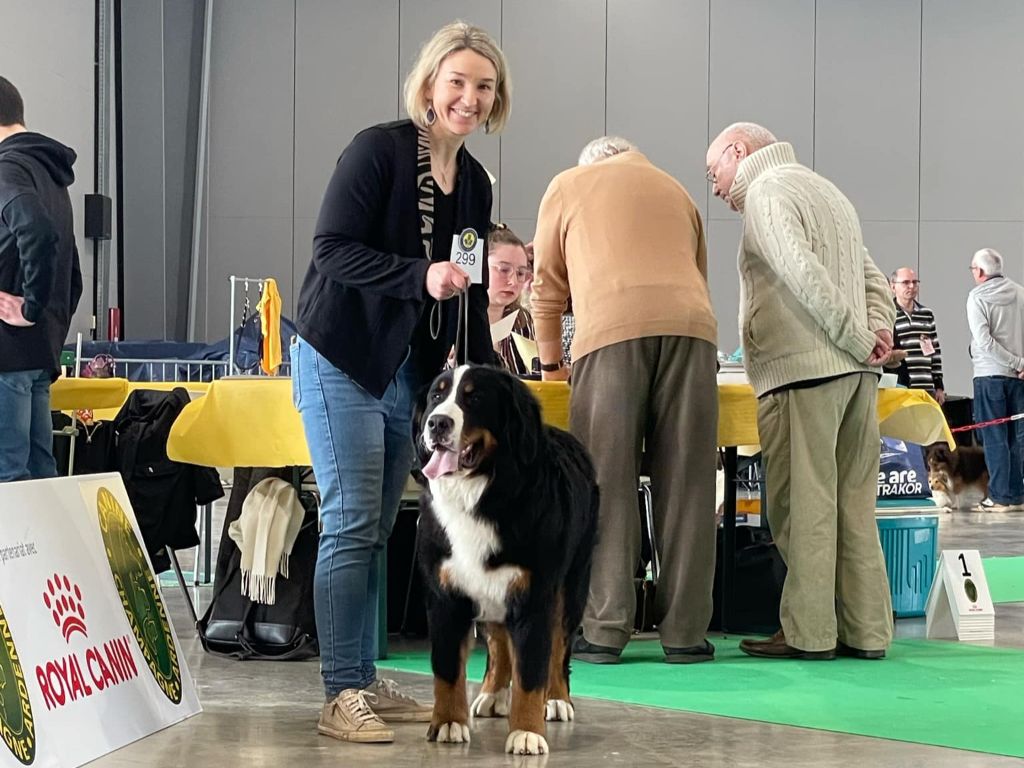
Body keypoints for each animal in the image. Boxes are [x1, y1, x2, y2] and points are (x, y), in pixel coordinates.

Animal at [411, 364, 598, 753]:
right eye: (436, 395)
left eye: (475, 398)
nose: (437, 423)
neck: (480, 494)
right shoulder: (444, 595)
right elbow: (446, 669)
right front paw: (448, 722)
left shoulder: (535, 596)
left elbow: (532, 673)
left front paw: (527, 731)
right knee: (498, 641)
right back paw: (493, 694)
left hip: (571, 585)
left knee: (558, 648)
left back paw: (557, 700)